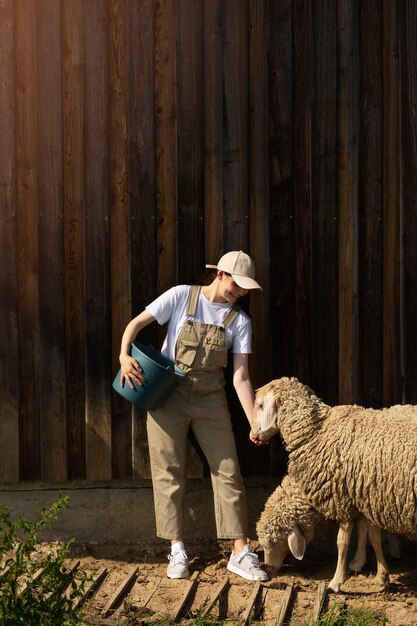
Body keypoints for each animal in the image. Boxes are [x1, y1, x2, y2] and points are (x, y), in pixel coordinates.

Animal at [250, 378, 416, 588]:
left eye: (260, 405)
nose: (266, 571)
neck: (318, 430)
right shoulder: (365, 496)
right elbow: (369, 534)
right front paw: (371, 569)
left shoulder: (343, 497)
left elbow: (343, 542)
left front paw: (337, 580)